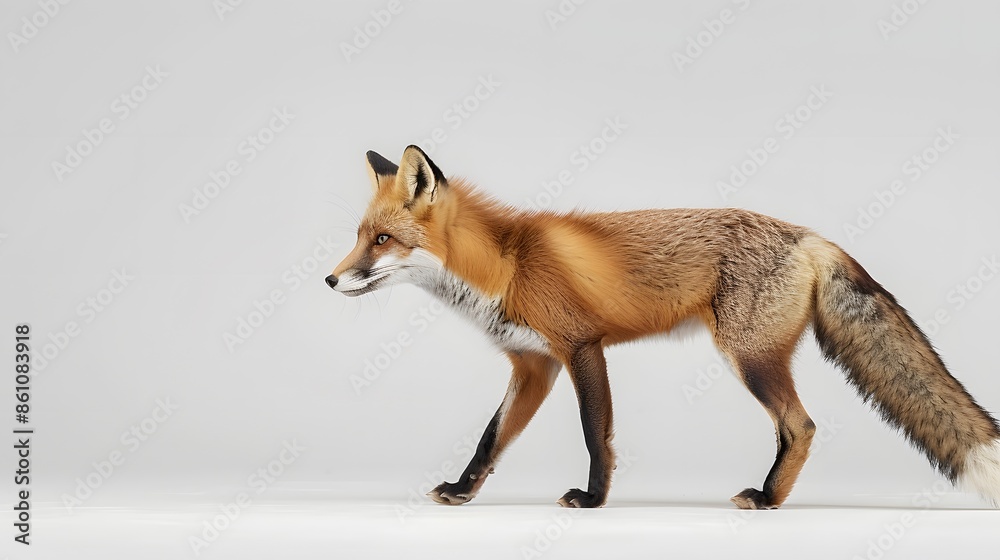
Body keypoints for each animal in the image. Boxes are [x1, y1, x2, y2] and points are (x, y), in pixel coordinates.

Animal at [326, 145, 1000, 510]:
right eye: (360, 236)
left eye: (381, 241)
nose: (330, 281)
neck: (506, 265)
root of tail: (812, 236)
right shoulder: (533, 365)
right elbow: (489, 442)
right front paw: (462, 493)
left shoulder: (581, 348)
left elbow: (596, 435)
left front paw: (593, 501)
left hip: (748, 357)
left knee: (801, 425)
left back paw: (767, 500)